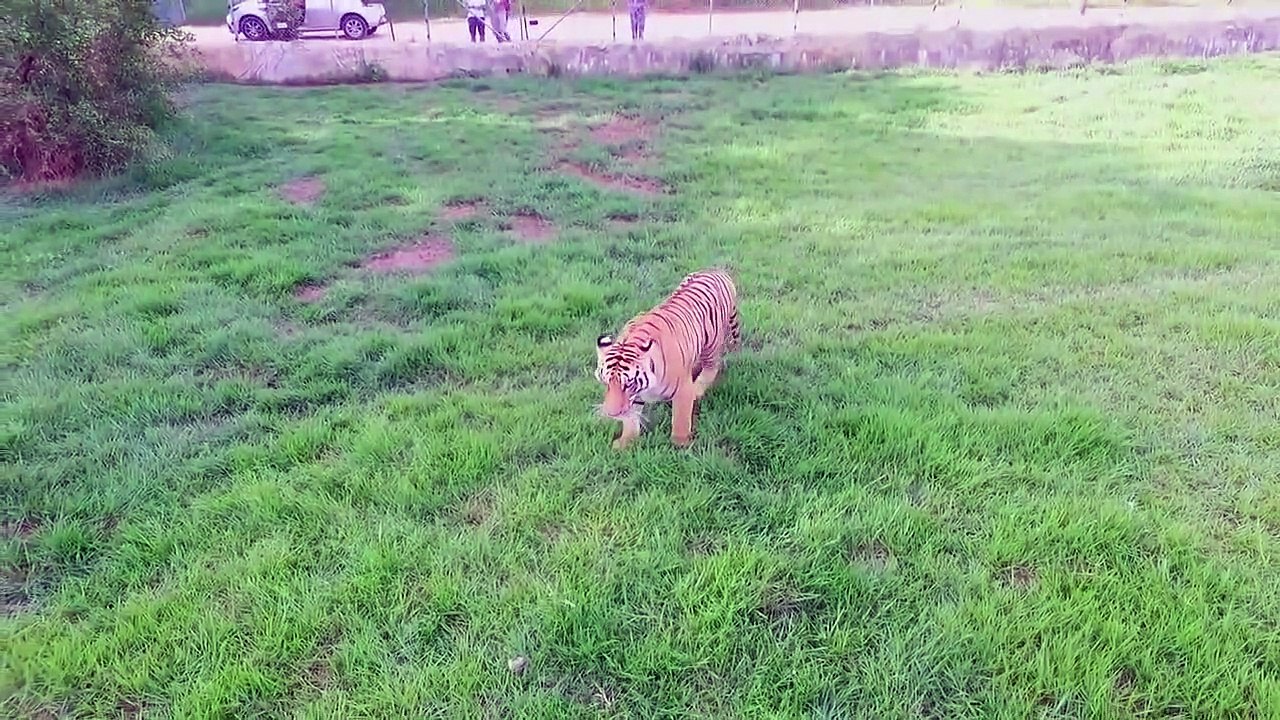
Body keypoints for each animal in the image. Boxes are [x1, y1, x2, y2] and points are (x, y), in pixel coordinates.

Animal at [594, 268, 741, 450]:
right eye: (606, 382)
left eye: (628, 384)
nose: (613, 413)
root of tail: (717, 270)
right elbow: (631, 419)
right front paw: (625, 442)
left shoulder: (683, 391)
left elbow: (680, 420)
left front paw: (680, 445)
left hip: (711, 342)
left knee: (712, 366)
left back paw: (698, 388)